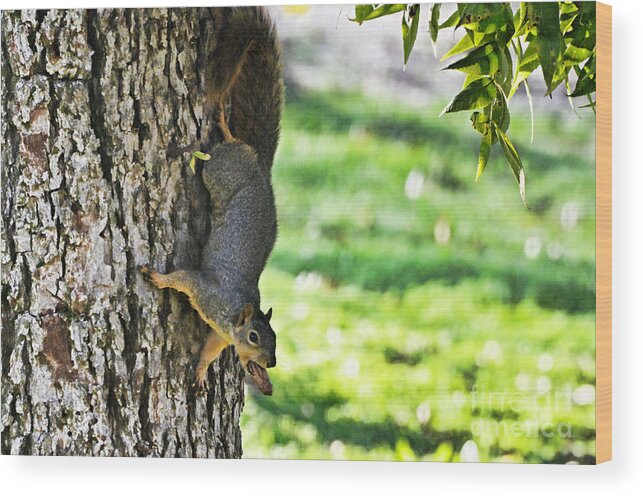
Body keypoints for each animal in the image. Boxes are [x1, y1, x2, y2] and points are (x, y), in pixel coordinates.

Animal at [140, 6, 284, 396]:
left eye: (275, 340)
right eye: (254, 336)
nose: (271, 363)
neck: (232, 317)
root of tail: (259, 164)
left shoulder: (220, 335)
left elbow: (209, 349)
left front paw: (202, 371)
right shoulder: (205, 290)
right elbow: (182, 278)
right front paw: (158, 278)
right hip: (220, 173)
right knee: (216, 156)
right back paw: (209, 140)